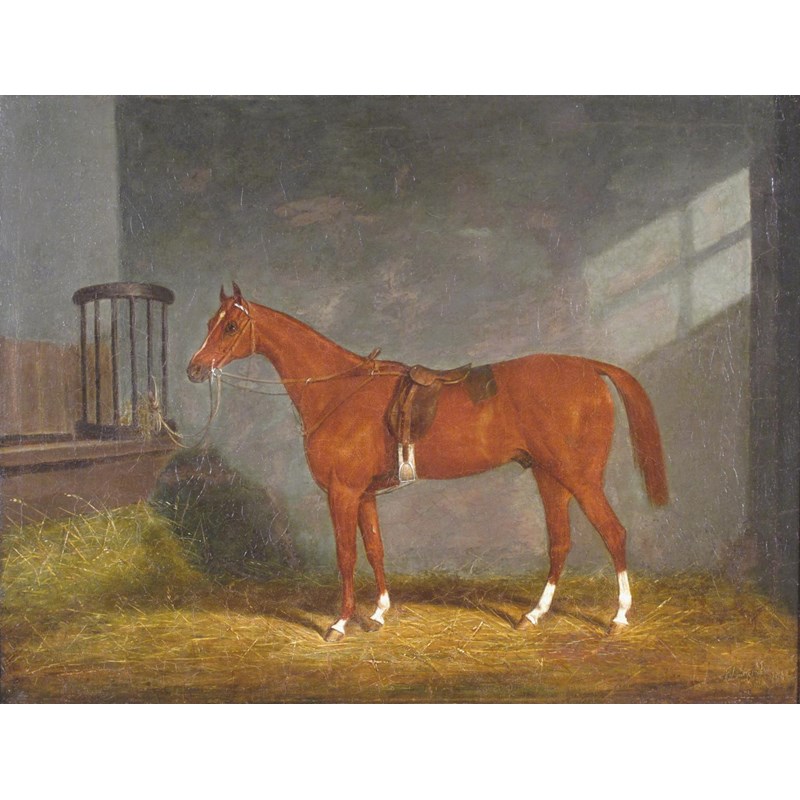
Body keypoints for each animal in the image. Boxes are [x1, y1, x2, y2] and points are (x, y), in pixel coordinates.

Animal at [187, 282, 668, 642]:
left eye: (231, 326)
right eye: (209, 323)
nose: (194, 369)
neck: (341, 390)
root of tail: (590, 367)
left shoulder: (343, 494)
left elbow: (346, 555)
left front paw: (341, 622)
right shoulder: (364, 496)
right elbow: (376, 550)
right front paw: (377, 614)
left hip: (580, 479)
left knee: (614, 534)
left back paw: (618, 617)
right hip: (551, 479)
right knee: (560, 543)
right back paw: (533, 615)